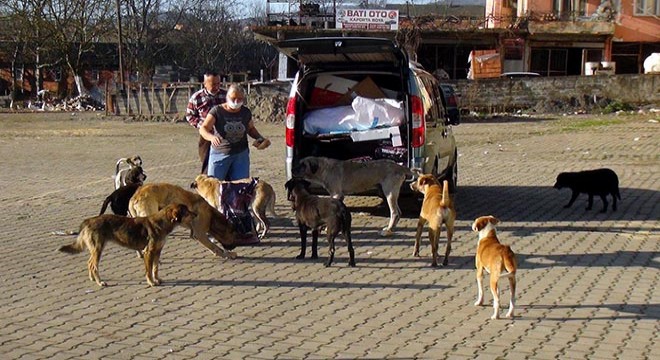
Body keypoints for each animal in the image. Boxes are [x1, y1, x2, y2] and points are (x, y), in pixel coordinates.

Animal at [58, 205, 196, 286]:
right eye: (187, 212)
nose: (196, 214)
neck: (162, 223)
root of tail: (88, 221)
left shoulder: (158, 251)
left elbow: (155, 269)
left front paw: (157, 280)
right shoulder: (148, 252)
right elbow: (148, 271)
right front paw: (151, 282)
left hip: (95, 249)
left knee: (89, 262)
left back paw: (92, 278)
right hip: (98, 249)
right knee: (93, 265)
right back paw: (100, 282)